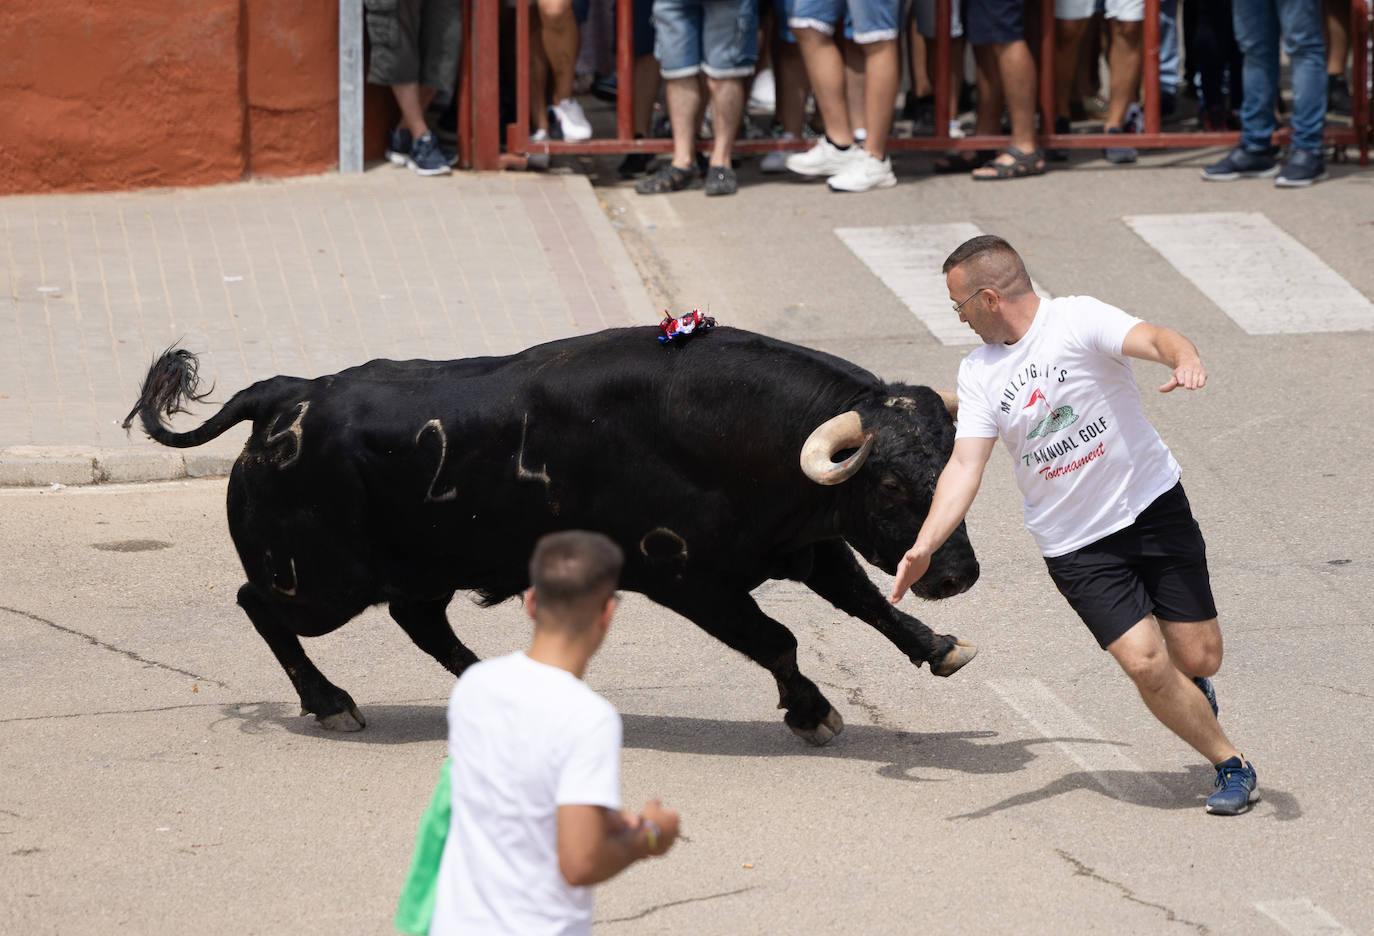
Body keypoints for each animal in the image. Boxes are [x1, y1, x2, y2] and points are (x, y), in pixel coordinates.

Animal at [118, 324, 978, 742]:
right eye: (891, 485)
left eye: (954, 470)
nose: (957, 576)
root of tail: (284, 394)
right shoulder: (688, 579)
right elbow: (778, 639)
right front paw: (811, 712)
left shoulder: (799, 544)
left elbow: (867, 602)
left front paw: (941, 646)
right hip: (320, 582)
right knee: (258, 603)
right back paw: (330, 701)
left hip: (416, 569)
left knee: (421, 621)